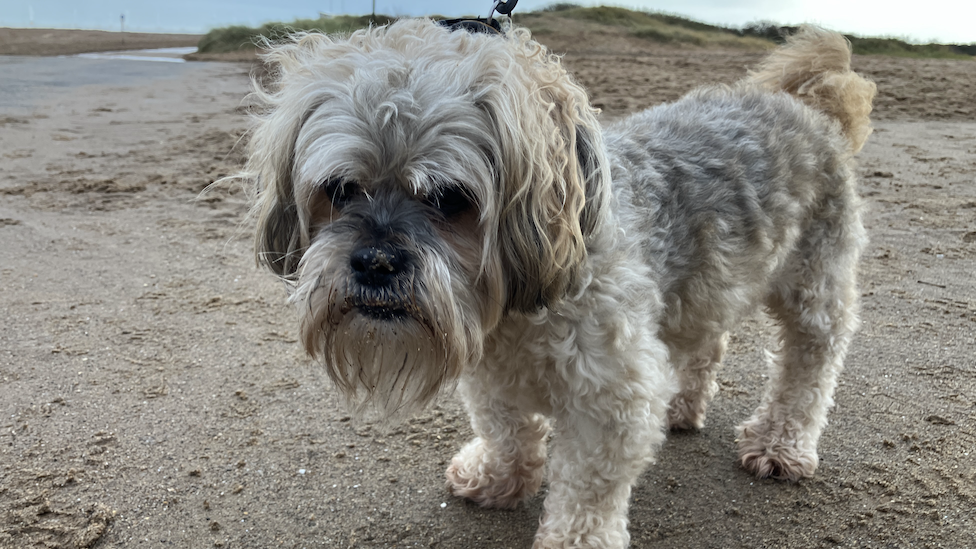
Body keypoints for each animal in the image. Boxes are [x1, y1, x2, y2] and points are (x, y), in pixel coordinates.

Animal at [242, 18, 876, 548]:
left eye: (449, 198)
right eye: (340, 189)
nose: (375, 261)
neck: (517, 308)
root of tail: (804, 104)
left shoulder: (612, 398)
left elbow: (589, 488)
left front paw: (574, 537)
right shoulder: (492, 374)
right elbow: (505, 429)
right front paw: (498, 477)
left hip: (814, 283)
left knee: (811, 363)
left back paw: (780, 443)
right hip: (705, 286)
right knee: (708, 338)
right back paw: (684, 404)